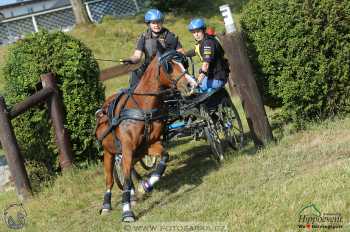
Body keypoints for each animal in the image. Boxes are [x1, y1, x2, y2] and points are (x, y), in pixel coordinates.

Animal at [94, 50, 196, 221]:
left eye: (184, 63)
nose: (191, 84)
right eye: (169, 66)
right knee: (110, 179)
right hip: (109, 152)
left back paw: (135, 192)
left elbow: (164, 157)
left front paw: (147, 184)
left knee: (128, 169)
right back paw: (107, 205)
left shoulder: (149, 145)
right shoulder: (128, 148)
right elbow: (125, 180)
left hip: (135, 152)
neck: (142, 107)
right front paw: (127, 211)